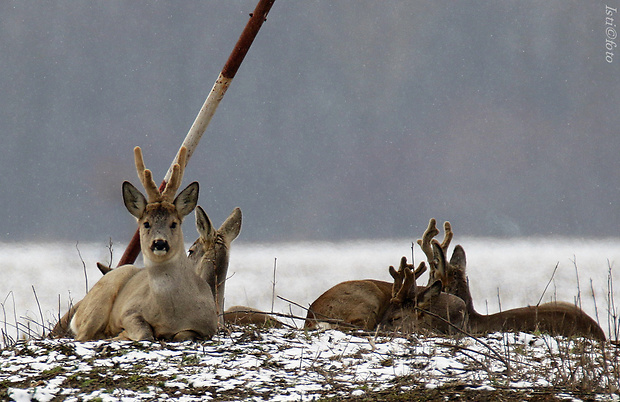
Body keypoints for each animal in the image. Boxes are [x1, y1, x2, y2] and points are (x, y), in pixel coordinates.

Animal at [52, 146, 219, 340]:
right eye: (146, 223)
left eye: (174, 223)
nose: (159, 243)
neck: (170, 314)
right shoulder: (129, 311)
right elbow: (145, 332)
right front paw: (124, 334)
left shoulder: (208, 326)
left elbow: (183, 335)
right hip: (99, 300)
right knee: (82, 336)